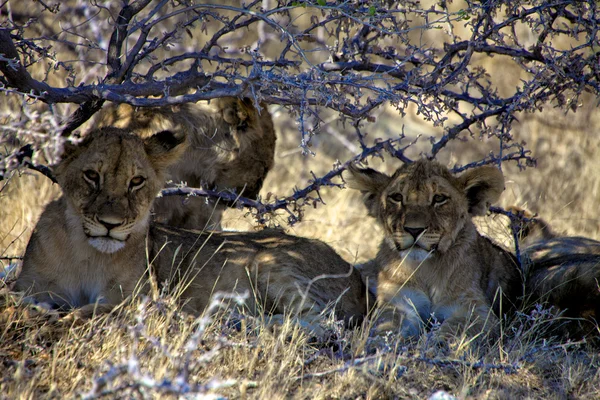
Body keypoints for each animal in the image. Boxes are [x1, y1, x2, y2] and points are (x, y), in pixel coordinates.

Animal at [14, 127, 368, 328]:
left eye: (136, 181)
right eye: (91, 176)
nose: (110, 225)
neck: (88, 253)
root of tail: (358, 278)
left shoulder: (139, 298)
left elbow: (96, 311)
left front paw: (66, 318)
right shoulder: (32, 286)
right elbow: (22, 303)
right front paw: (39, 315)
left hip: (270, 263)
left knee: (323, 324)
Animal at [346, 159, 600, 340]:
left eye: (439, 199)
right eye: (397, 197)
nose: (413, 229)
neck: (425, 268)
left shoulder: (474, 310)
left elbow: (453, 332)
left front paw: (434, 346)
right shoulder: (398, 303)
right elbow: (387, 327)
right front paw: (377, 347)